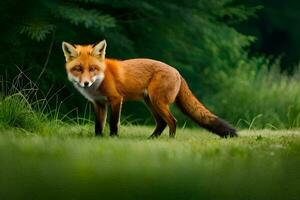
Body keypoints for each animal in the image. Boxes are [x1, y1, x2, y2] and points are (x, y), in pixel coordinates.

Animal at [62, 40, 237, 138]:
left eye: (92, 69)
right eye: (78, 69)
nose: (86, 84)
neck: (101, 78)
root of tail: (178, 72)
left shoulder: (116, 100)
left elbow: (113, 123)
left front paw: (113, 138)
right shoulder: (99, 103)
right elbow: (98, 125)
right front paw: (98, 139)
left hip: (157, 101)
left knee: (172, 121)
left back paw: (170, 141)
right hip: (150, 103)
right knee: (162, 123)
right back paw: (151, 139)